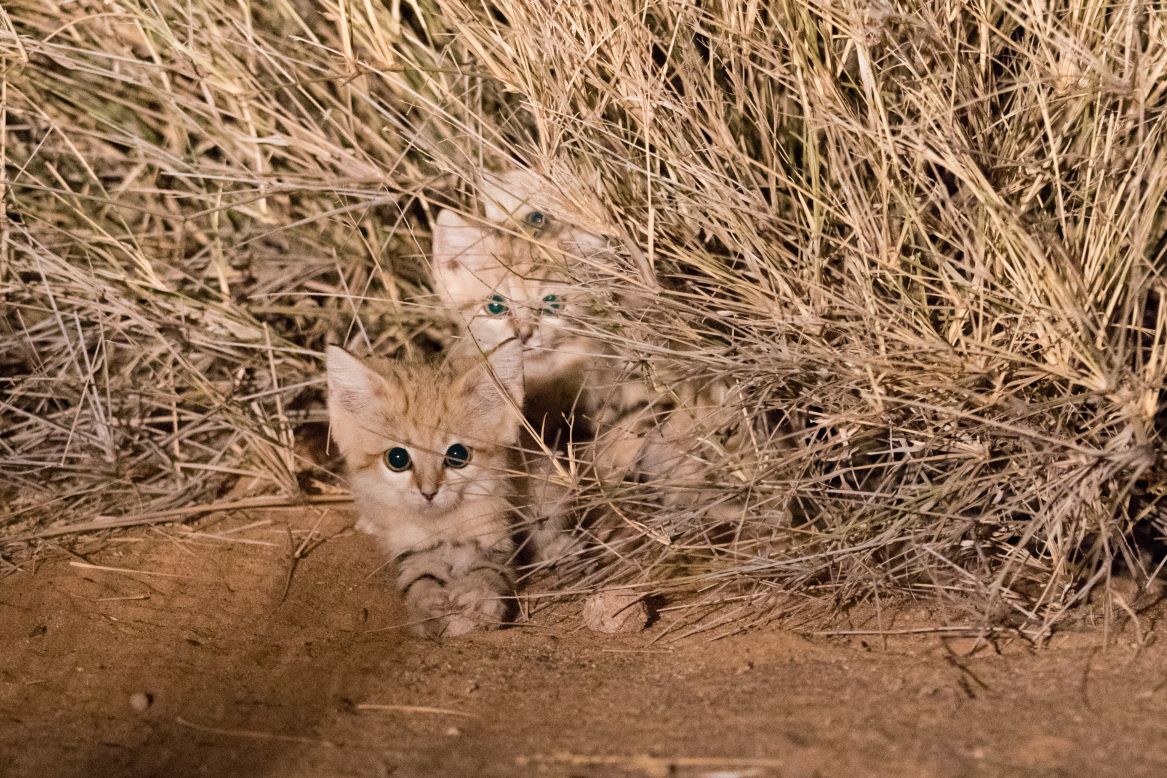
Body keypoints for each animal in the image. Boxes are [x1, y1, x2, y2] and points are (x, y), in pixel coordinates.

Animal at [329, 340, 529, 639]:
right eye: (397, 458)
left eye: (458, 455)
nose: (429, 493)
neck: (443, 524)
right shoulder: (409, 547)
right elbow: (418, 576)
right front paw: (427, 606)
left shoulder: (496, 536)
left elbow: (490, 569)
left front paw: (479, 596)